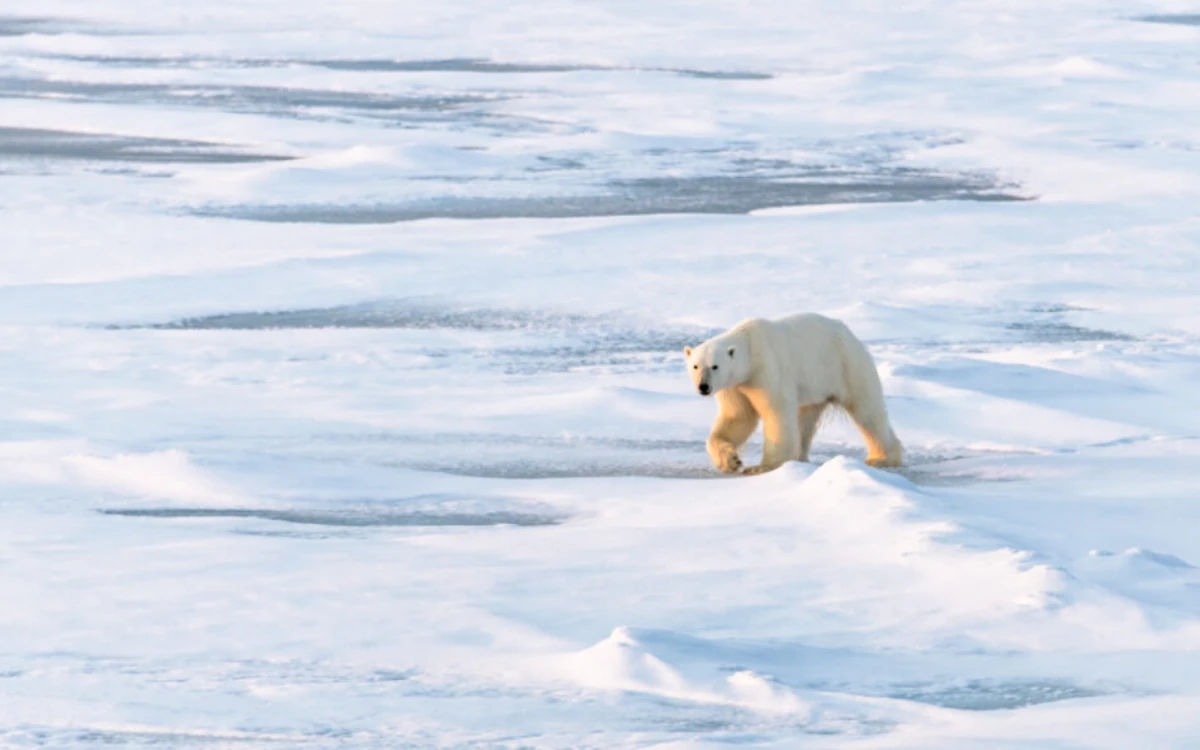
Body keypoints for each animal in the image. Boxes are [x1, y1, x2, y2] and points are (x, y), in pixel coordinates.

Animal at [684, 313, 903, 475]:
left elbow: (776, 413)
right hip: (816, 386)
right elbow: (737, 417)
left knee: (867, 411)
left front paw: (762, 467)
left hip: (848, 367)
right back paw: (800, 457)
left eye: (715, 366)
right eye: (695, 366)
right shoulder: (735, 385)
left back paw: (881, 458)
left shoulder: (766, 370)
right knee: (805, 419)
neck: (750, 346)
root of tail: (852, 335)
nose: (703, 387)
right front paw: (730, 460)